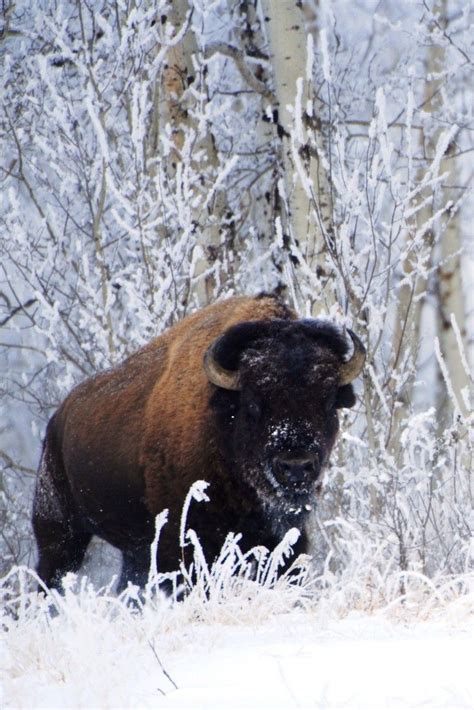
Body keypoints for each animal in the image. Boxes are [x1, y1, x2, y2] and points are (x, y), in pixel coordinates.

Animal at [33, 292, 364, 592]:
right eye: (253, 403)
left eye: (328, 402)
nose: (296, 466)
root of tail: (57, 420)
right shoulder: (183, 547)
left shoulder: (287, 539)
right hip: (59, 532)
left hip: (132, 550)